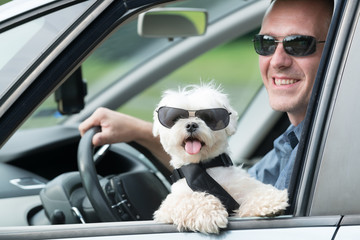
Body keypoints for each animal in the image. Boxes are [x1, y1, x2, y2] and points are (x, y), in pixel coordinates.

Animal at [153, 83, 288, 234]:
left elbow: (254, 191)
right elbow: (190, 200)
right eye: (176, 117)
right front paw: (208, 213)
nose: (191, 125)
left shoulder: (240, 185)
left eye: (208, 117)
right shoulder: (170, 205)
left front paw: (268, 202)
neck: (204, 166)